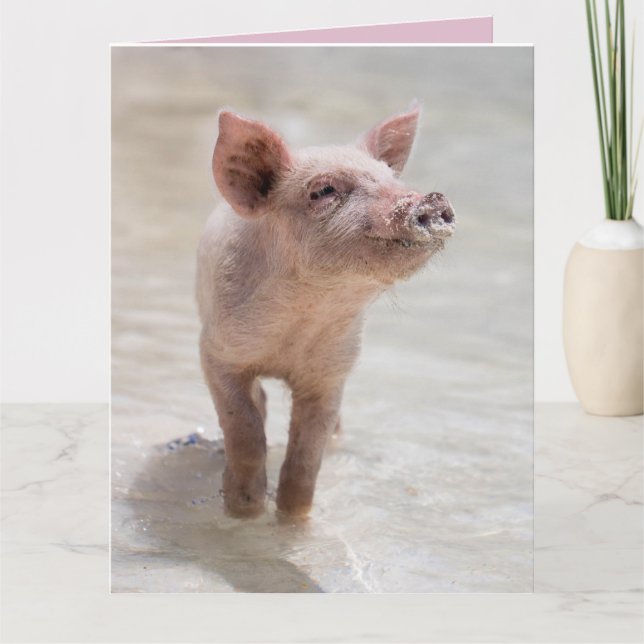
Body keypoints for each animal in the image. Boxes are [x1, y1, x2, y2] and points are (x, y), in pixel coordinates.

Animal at [197, 105, 455, 519]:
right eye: (323, 191)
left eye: (391, 178)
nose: (431, 200)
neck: (303, 317)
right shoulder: (216, 351)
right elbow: (244, 426)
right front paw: (244, 509)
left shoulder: (332, 372)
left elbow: (307, 454)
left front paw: (292, 518)